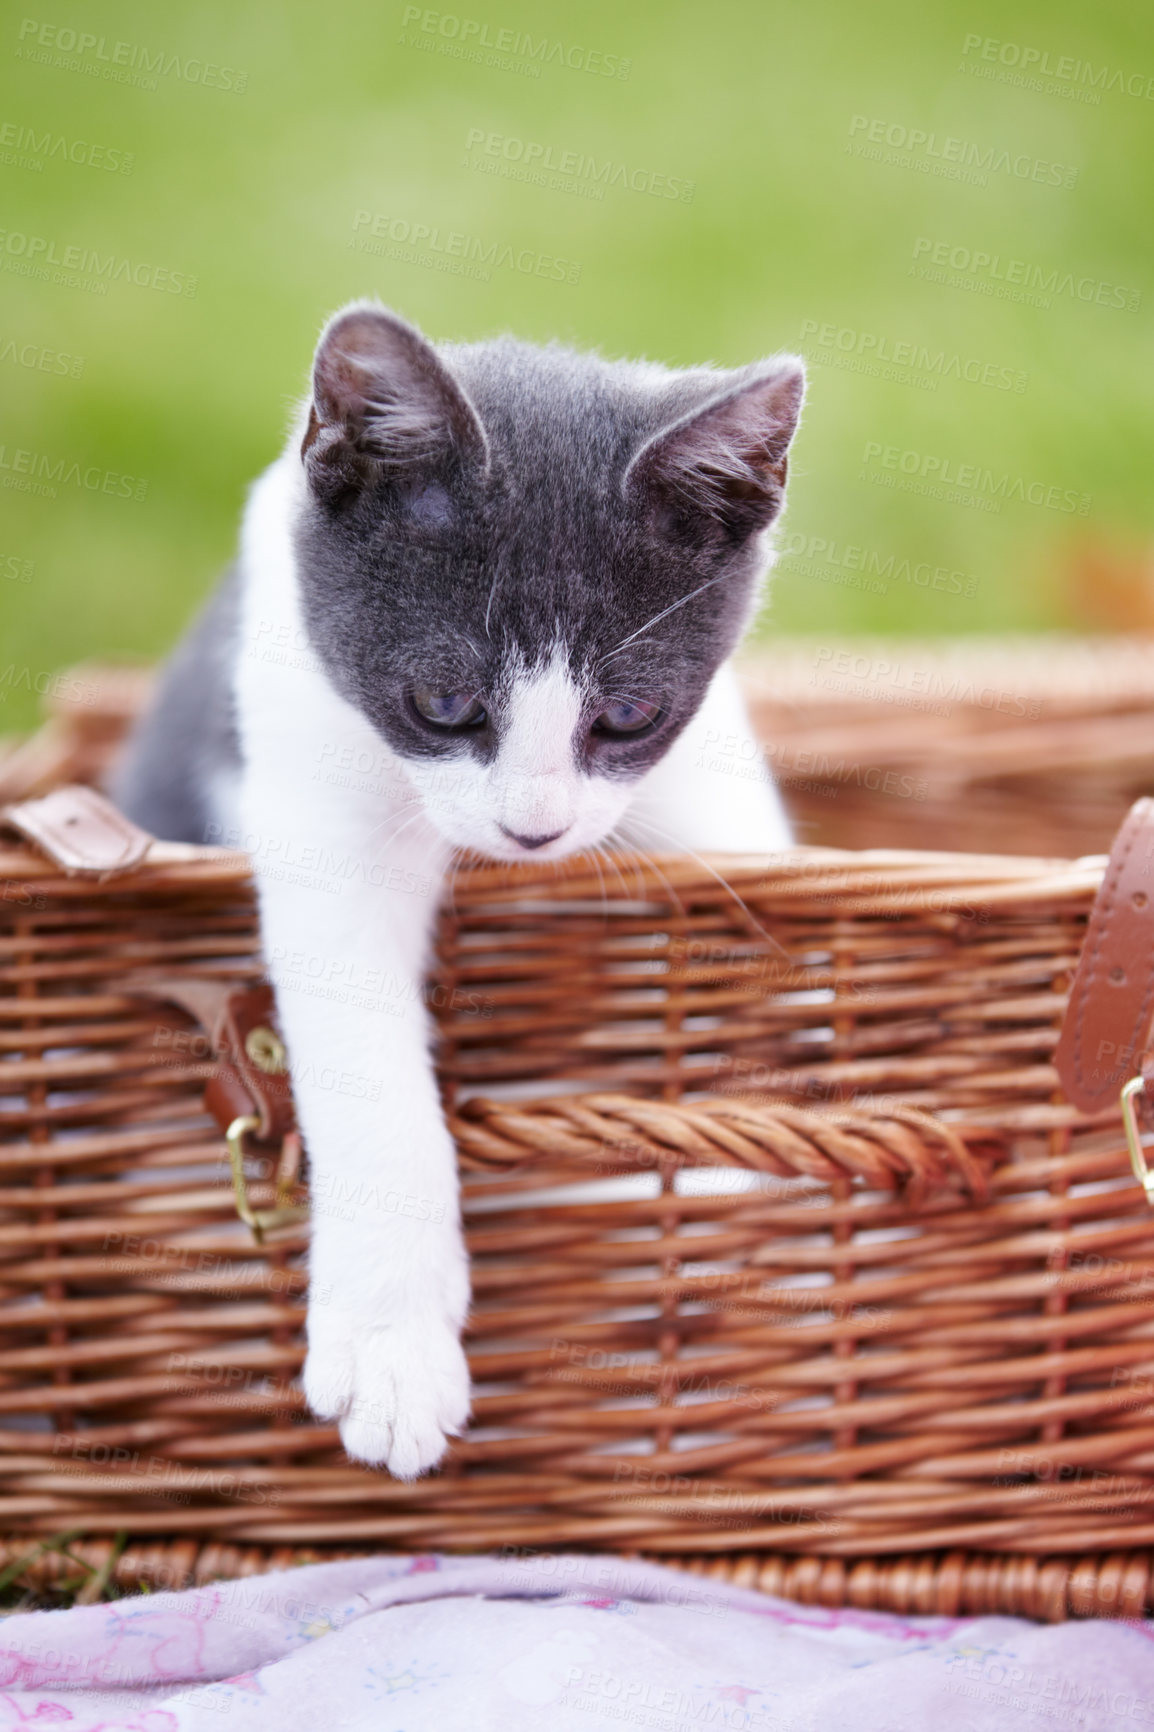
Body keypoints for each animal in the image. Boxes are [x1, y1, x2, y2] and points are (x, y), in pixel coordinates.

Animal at [112, 308, 803, 1475]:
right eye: (442, 702)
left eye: (628, 715)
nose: (535, 830)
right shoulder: (307, 764)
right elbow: (359, 1051)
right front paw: (392, 1352)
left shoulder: (710, 779)